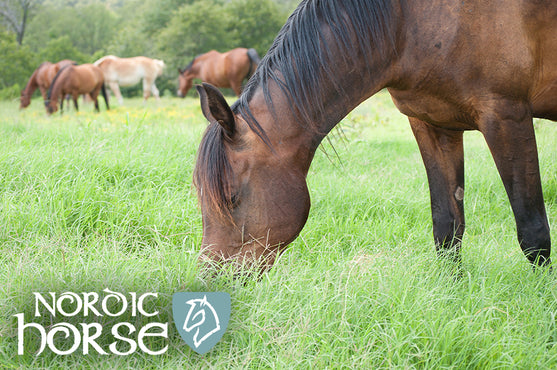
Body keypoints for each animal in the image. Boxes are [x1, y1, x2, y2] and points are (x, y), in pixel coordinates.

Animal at [193, 0, 556, 272]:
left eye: (232, 198)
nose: (211, 276)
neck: (408, 23)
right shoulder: (433, 125)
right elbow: (447, 227)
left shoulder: (507, 116)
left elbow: (534, 233)